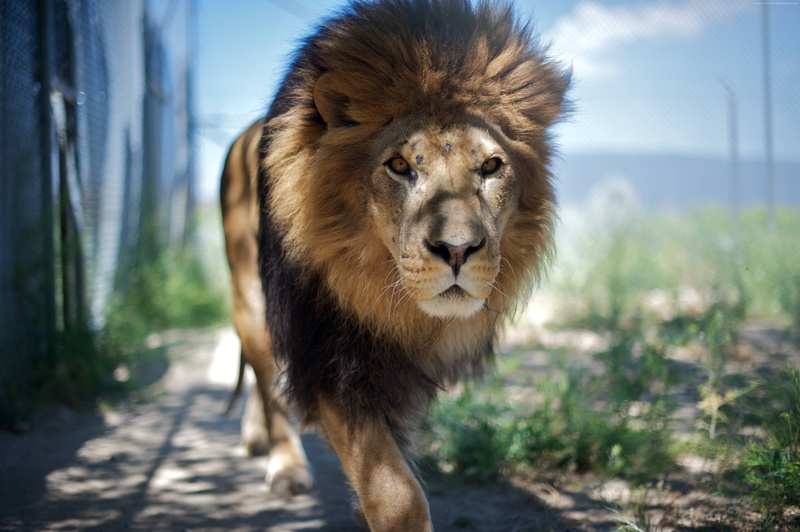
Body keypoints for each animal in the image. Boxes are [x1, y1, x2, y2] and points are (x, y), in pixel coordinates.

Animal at [221, 0, 570, 529]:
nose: (458, 250)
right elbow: (395, 492)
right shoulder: (329, 353)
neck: (391, 301)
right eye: (400, 166)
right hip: (250, 294)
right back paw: (284, 465)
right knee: (265, 376)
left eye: (491, 166)